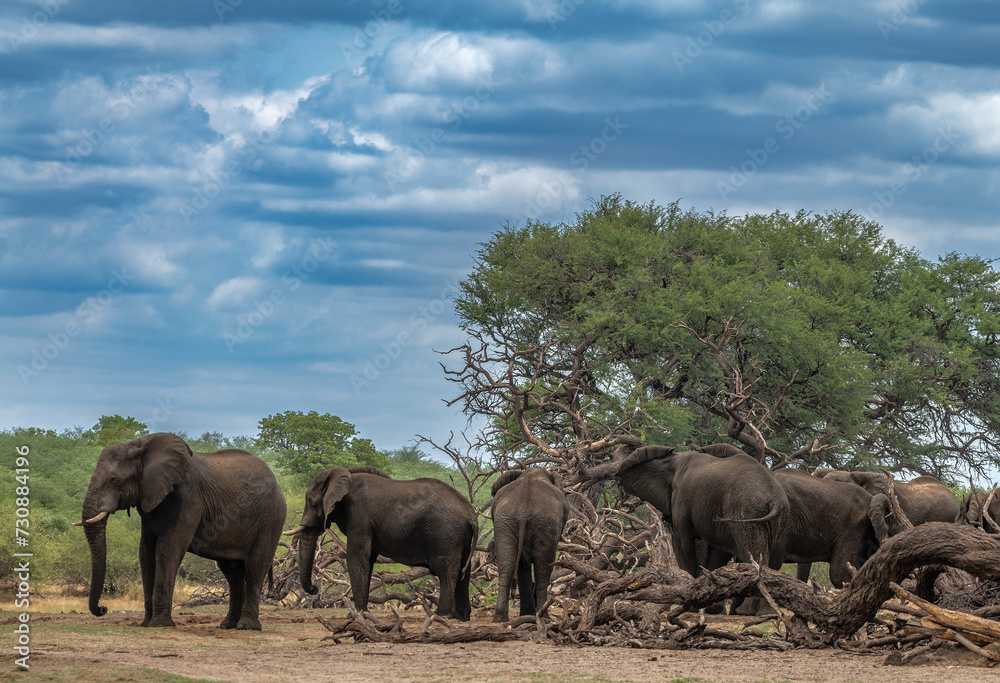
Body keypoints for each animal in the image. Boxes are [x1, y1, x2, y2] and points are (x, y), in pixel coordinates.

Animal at [77, 432, 286, 632]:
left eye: (114, 480)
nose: (103, 609)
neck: (140, 445)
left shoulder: (187, 499)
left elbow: (167, 549)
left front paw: (160, 624)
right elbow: (145, 553)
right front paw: (145, 624)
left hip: (270, 519)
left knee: (255, 566)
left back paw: (247, 627)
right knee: (232, 571)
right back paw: (228, 625)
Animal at [284, 470, 478, 620]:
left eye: (309, 500)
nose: (315, 588)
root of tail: (471, 515)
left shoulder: (359, 515)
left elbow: (357, 556)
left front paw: (357, 615)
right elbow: (368, 559)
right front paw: (361, 614)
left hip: (445, 533)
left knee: (446, 570)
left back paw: (440, 616)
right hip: (459, 537)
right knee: (464, 571)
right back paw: (461, 617)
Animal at [486, 468, 568, 624]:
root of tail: (523, 511)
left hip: (504, 521)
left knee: (507, 565)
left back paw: (500, 619)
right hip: (546, 524)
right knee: (543, 568)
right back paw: (543, 617)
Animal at [616, 448, 788, 584]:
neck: (674, 460)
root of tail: (775, 500)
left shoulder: (681, 500)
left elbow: (683, 544)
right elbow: (717, 552)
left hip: (746, 512)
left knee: (754, 556)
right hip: (777, 519)